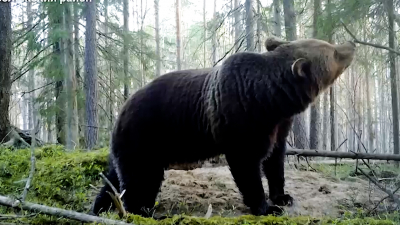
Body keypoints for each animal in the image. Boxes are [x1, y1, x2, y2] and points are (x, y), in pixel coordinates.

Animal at [90, 37, 356, 218]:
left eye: (328, 44)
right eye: (333, 52)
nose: (351, 45)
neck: (270, 100)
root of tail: (120, 110)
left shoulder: (279, 125)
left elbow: (275, 161)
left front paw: (283, 197)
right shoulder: (241, 120)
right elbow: (247, 166)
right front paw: (265, 207)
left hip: (128, 145)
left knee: (115, 179)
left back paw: (100, 207)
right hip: (145, 136)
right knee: (140, 181)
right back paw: (146, 212)